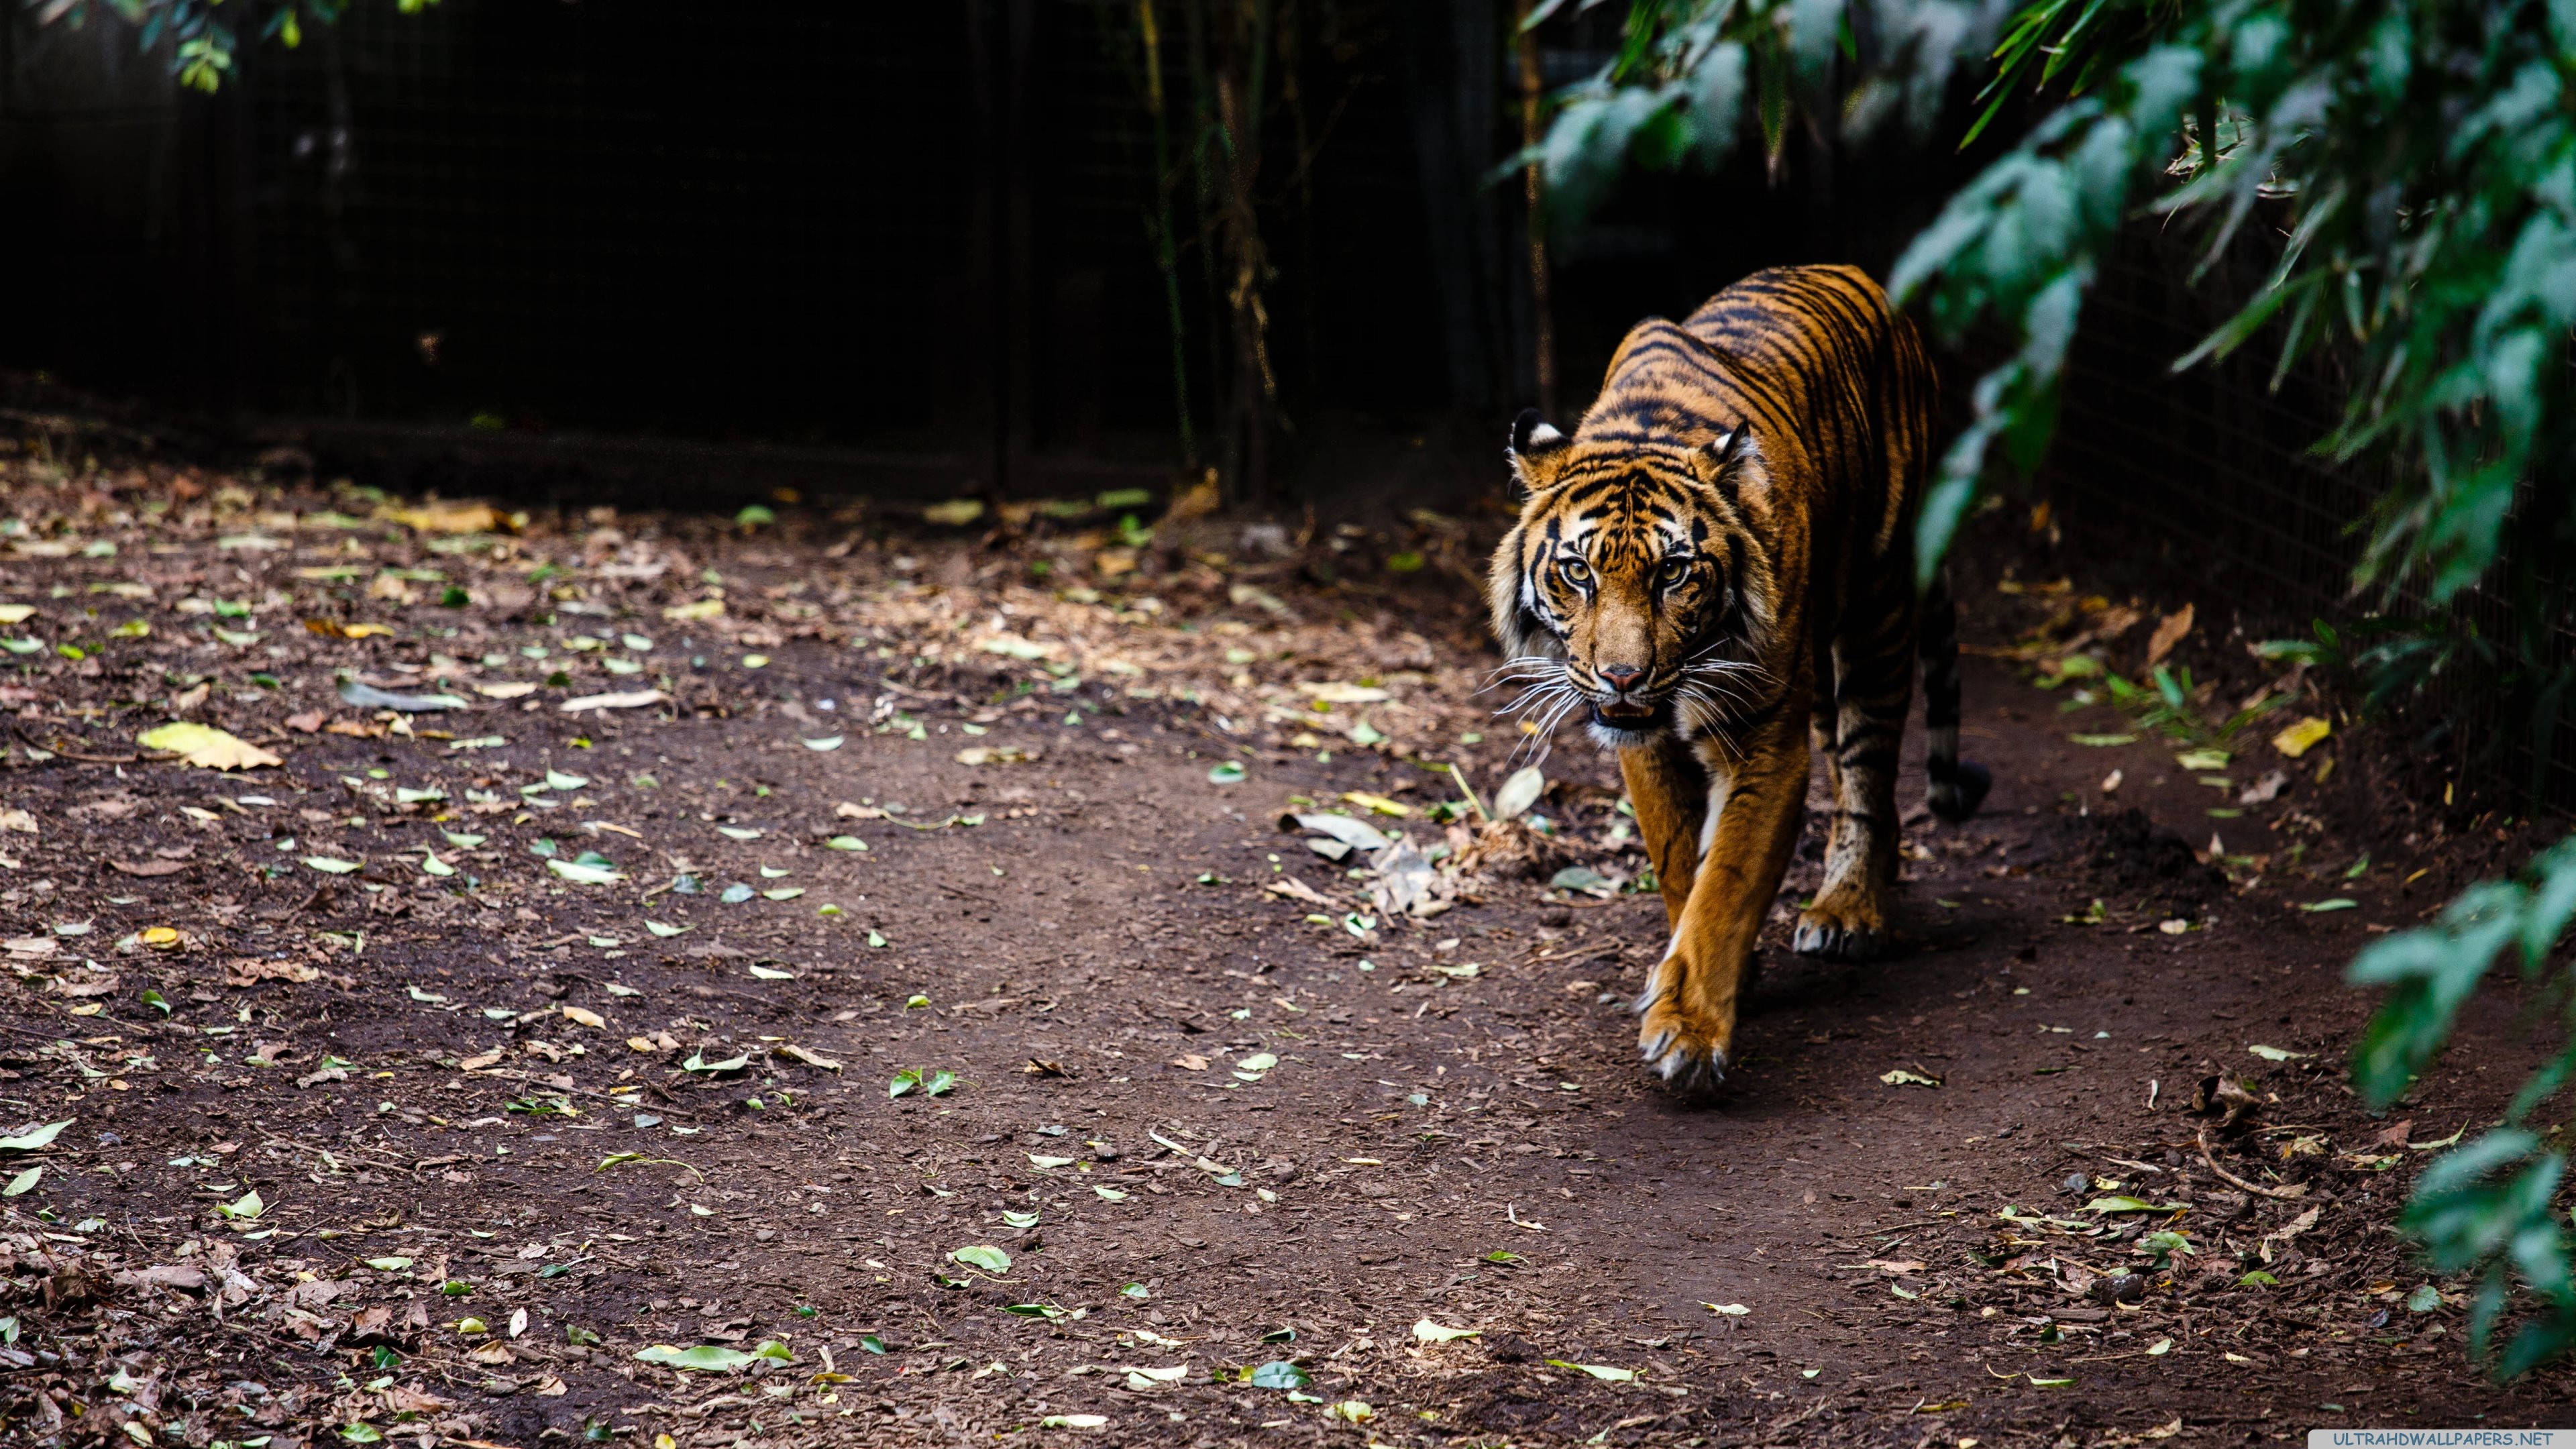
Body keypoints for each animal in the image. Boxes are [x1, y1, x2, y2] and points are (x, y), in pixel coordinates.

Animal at [1486, 263, 1989, 1092]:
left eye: (1673, 574)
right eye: (1578, 572)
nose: (1623, 677)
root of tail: (1862, 279)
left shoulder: (1763, 740)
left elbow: (1726, 878)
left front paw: (1688, 1034)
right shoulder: (1648, 746)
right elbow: (1678, 864)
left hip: (1877, 607)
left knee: (1868, 769)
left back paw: (1850, 909)